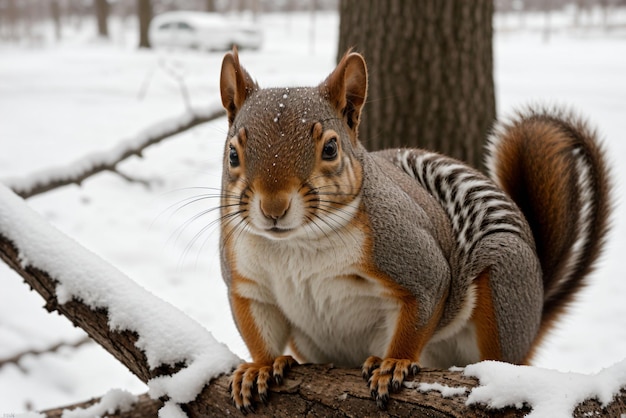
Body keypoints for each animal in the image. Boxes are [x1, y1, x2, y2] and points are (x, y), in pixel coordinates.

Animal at [216, 49, 608, 412]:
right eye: (233, 154)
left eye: (330, 148)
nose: (274, 208)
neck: (296, 246)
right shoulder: (247, 284)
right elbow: (258, 330)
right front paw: (260, 368)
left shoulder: (411, 259)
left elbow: (420, 308)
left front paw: (394, 363)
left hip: (505, 287)